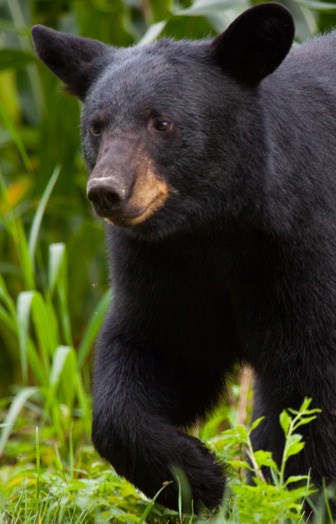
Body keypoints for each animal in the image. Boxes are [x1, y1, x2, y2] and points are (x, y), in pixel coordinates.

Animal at [32, 1, 336, 512]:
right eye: (97, 125)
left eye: (162, 122)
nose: (106, 191)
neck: (215, 226)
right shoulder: (164, 267)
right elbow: (159, 350)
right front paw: (199, 476)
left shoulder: (307, 248)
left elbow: (311, 384)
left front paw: (301, 498)